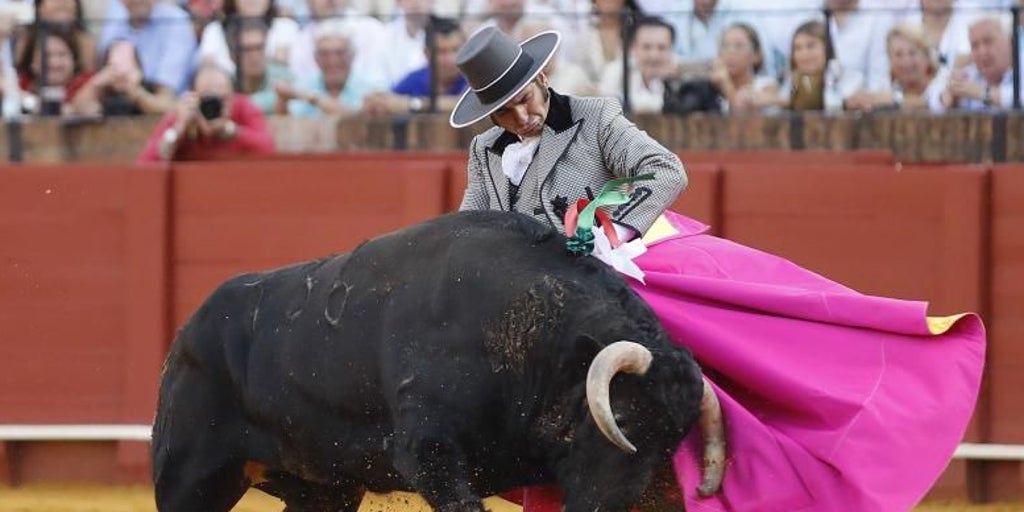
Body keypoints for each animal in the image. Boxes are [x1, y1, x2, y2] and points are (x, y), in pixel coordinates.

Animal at [155, 209, 724, 509]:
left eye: (673, 442)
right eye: (619, 417)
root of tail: (184, 335)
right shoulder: (429, 452)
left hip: (322, 489)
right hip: (188, 477)